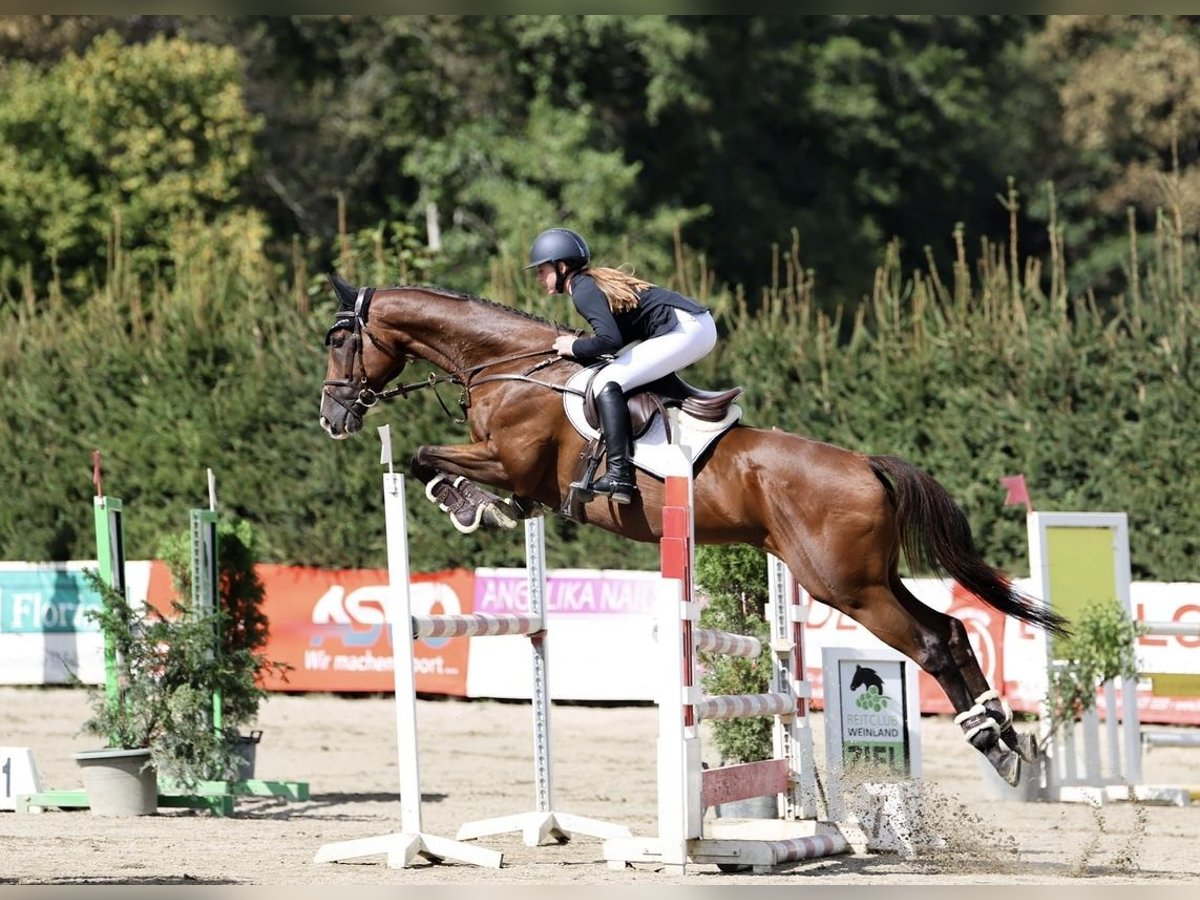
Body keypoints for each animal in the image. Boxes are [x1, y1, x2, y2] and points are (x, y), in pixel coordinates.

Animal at [319, 274, 1070, 787]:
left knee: (931, 641)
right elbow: (453, 470)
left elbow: (426, 457)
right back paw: (1007, 738)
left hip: (847, 587)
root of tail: (867, 466)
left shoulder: (509, 458)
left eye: (340, 340)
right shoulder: (520, 473)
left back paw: (997, 749)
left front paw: (466, 503)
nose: (332, 417)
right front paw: (488, 509)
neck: (511, 367)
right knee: (952, 628)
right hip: (867, 578)